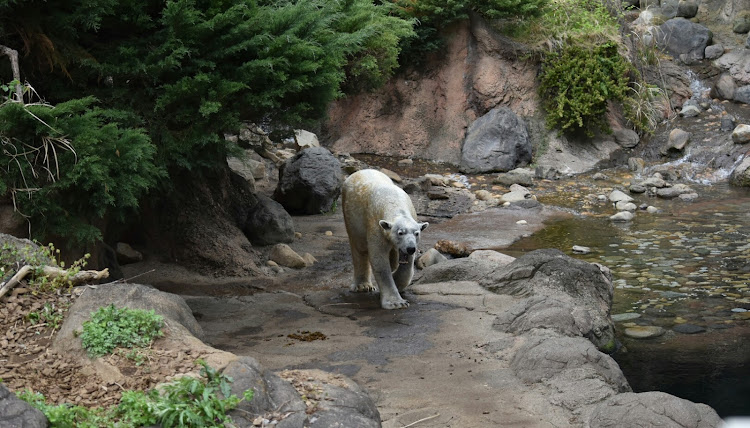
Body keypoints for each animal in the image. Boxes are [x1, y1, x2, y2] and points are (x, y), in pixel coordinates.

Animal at [342, 169, 428, 310]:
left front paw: (398, 282)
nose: (411, 248)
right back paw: (362, 286)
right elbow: (379, 261)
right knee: (359, 247)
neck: (394, 203)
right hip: (351, 215)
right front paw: (396, 302)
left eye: (417, 233)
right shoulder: (376, 226)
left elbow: (407, 264)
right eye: (400, 232)